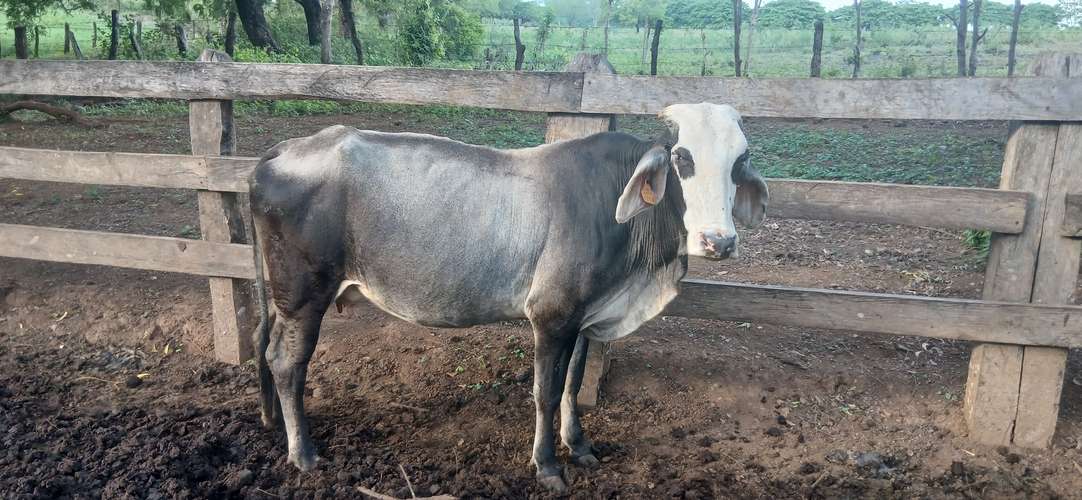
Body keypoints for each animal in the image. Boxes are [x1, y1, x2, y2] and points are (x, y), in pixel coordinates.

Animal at [247, 102, 768, 493]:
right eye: (682, 157)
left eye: (740, 161)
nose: (719, 241)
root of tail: (279, 152)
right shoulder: (551, 315)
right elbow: (546, 391)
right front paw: (549, 466)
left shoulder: (583, 317)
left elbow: (573, 384)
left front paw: (580, 447)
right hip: (304, 295)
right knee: (287, 362)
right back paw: (303, 453)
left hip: (282, 298)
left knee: (262, 343)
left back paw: (272, 421)